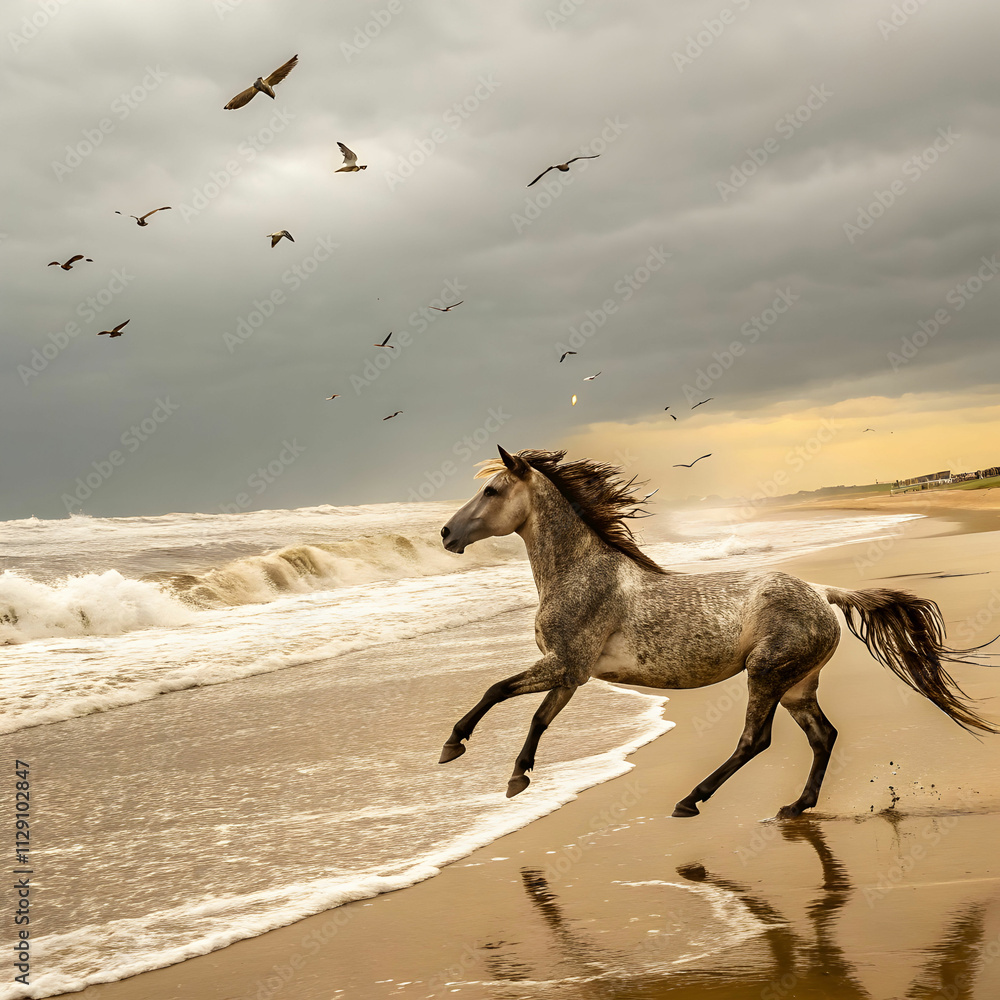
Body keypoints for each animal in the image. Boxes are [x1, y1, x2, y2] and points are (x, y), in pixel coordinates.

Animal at [437, 446, 996, 819]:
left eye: (490, 490)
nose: (445, 533)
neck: (581, 572)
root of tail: (823, 592)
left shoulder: (565, 665)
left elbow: (502, 694)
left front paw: (466, 751)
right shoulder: (572, 673)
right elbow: (528, 711)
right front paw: (506, 770)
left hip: (766, 675)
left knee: (756, 739)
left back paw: (692, 800)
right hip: (796, 685)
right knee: (823, 736)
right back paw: (795, 806)